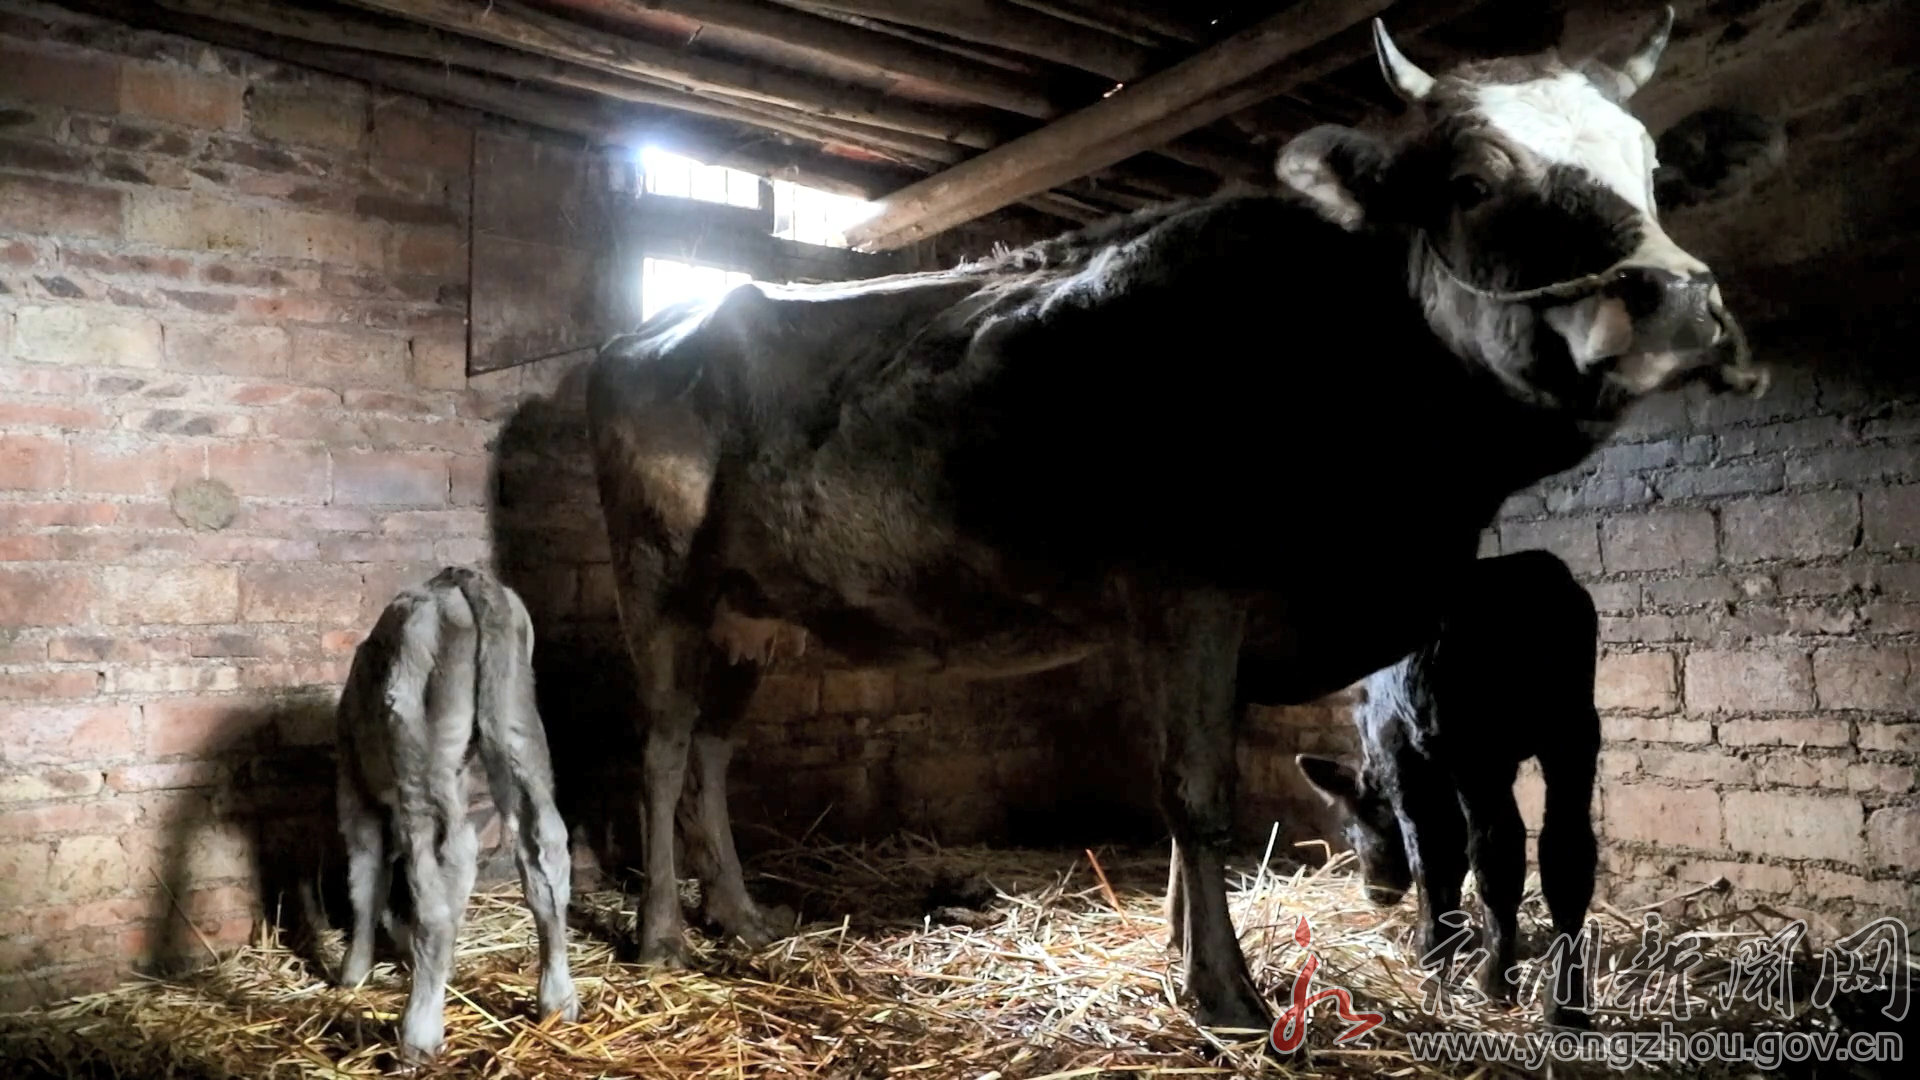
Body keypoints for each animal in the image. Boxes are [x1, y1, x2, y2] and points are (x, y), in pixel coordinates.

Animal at [337, 568, 576, 1060]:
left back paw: (418, 1033)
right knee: (545, 848)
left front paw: (354, 971)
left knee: (444, 873)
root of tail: (458, 579)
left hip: (422, 750)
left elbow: (364, 881)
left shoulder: (354, 791)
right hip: (518, 721)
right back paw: (557, 1000)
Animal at [1297, 549, 1597, 1022]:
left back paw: (1495, 983)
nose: (1376, 892)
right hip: (1573, 727)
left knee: (1497, 852)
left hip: (1476, 746)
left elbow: (1434, 860)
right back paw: (1565, 1007)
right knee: (1566, 851)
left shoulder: (1406, 765)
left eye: (1350, 828)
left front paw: (1431, 961)